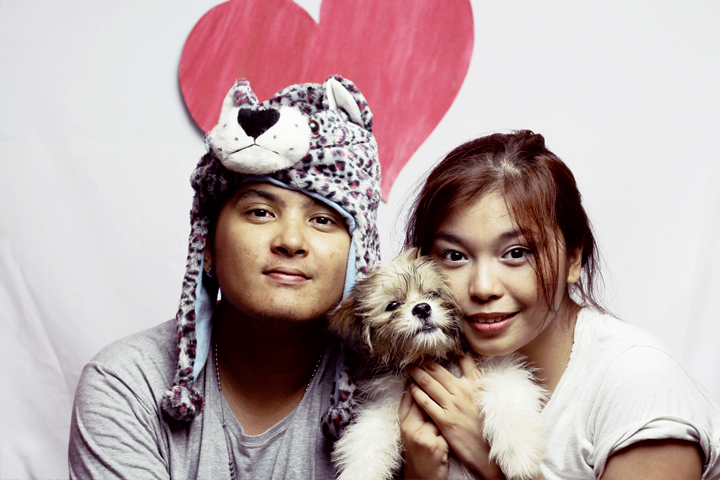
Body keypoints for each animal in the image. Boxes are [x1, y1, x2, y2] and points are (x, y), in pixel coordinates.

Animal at [328, 248, 549, 480]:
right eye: (393, 305)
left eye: (433, 294)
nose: (422, 308)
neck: (431, 356)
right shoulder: (385, 402)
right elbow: (367, 438)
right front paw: (359, 472)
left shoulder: (500, 365)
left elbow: (507, 399)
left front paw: (519, 453)